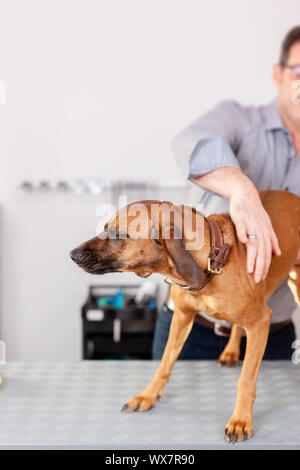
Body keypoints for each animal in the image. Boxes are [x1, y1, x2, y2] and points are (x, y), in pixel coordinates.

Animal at [69, 189, 300, 442]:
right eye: (105, 227)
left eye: (119, 234)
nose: (72, 254)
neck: (211, 259)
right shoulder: (181, 317)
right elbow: (164, 364)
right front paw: (147, 396)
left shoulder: (260, 322)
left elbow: (247, 379)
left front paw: (240, 420)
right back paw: (230, 352)